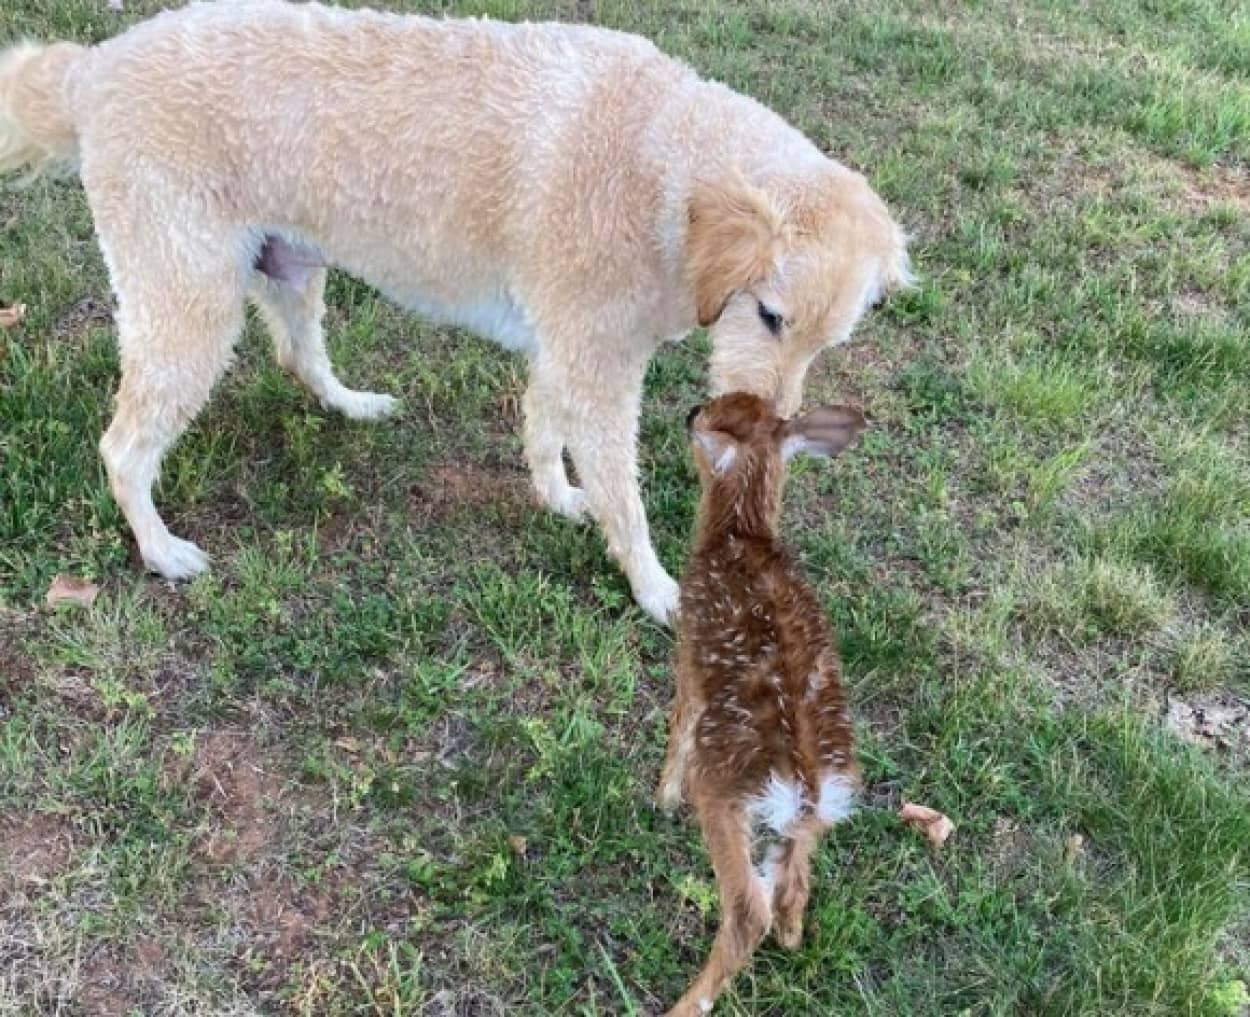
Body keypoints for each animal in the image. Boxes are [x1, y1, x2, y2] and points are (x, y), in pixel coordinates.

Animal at [0, 0, 910, 624]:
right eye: (769, 316)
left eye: (826, 342)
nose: (774, 432)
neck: (666, 165)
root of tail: (95, 67)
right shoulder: (598, 370)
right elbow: (626, 497)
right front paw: (655, 587)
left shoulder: (565, 352)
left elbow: (543, 429)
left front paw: (557, 496)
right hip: (188, 311)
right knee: (122, 448)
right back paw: (160, 550)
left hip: (286, 267)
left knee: (299, 357)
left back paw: (352, 403)